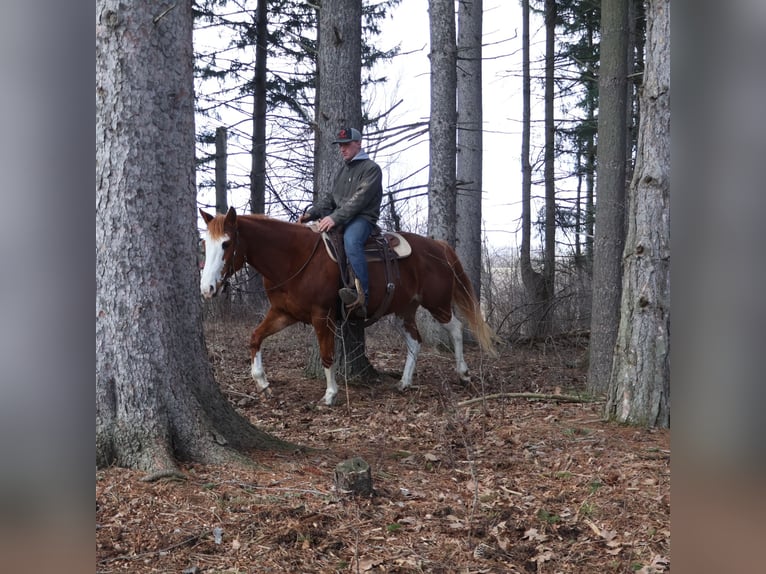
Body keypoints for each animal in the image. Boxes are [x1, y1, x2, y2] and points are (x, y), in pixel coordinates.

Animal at [199, 207, 496, 406]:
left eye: (226, 243)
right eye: (206, 243)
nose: (207, 288)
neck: (294, 258)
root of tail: (438, 246)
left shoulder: (322, 316)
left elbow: (327, 354)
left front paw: (330, 394)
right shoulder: (283, 313)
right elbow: (255, 337)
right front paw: (262, 383)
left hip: (437, 303)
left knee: (455, 328)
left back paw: (463, 374)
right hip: (405, 308)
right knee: (415, 339)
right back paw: (404, 382)